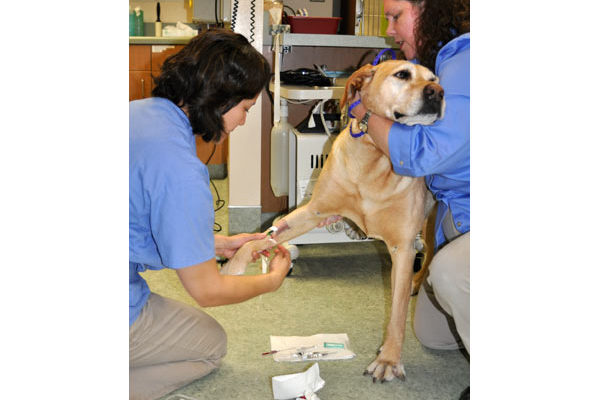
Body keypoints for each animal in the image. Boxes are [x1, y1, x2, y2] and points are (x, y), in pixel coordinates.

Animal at [223, 59, 442, 382]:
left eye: (435, 79)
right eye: (402, 74)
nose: (438, 93)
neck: (372, 158)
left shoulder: (401, 248)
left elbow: (398, 313)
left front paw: (389, 359)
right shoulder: (313, 211)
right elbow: (262, 237)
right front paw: (232, 267)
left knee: (429, 251)